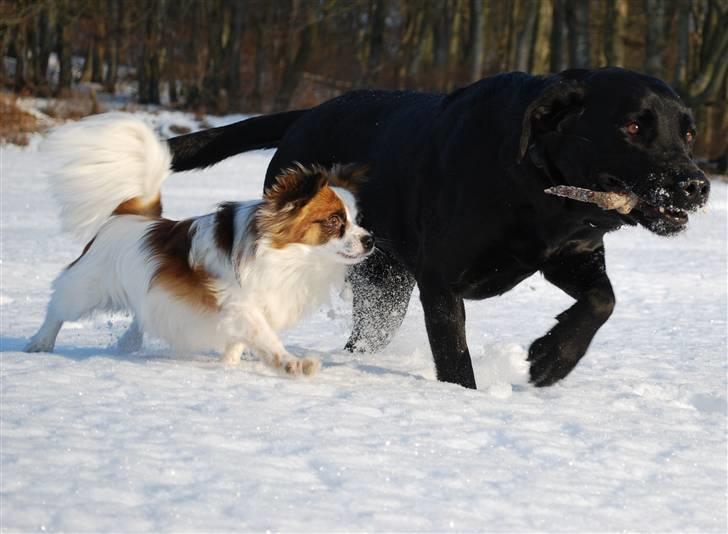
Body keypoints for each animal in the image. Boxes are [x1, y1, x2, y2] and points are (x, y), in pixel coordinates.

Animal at [25, 115, 372, 378]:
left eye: (357, 219)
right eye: (334, 221)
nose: (369, 240)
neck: (290, 256)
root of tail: (131, 215)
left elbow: (239, 343)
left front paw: (227, 366)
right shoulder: (239, 303)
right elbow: (265, 337)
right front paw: (292, 365)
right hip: (86, 288)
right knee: (58, 307)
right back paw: (40, 343)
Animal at [168, 70, 708, 390]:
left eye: (688, 132)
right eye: (633, 127)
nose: (696, 185)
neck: (536, 185)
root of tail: (309, 114)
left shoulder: (572, 256)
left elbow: (603, 301)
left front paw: (551, 359)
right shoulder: (442, 283)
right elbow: (453, 355)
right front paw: (464, 399)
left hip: (385, 292)